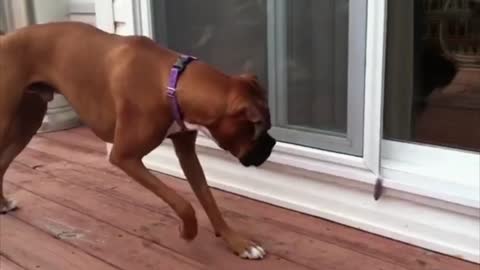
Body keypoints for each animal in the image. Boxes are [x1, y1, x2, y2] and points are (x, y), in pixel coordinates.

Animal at [0, 21, 276, 260]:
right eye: (259, 130)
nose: (272, 145)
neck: (170, 81)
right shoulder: (124, 157)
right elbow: (183, 203)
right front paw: (187, 231)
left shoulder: (187, 153)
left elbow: (208, 199)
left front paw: (238, 242)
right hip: (8, 122)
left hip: (28, 123)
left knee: (2, 164)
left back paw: (3, 204)